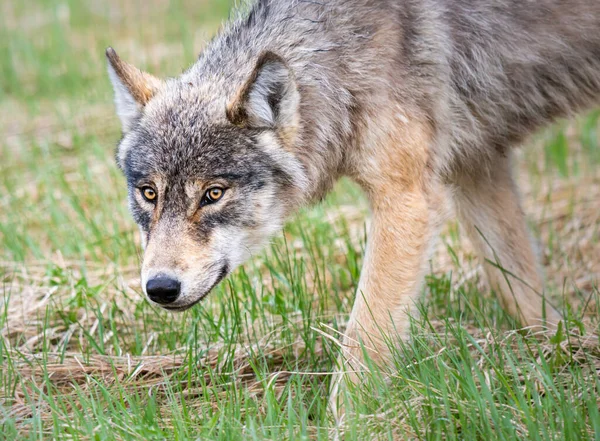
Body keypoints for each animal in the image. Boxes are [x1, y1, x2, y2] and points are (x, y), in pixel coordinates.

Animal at [108, 0, 600, 392]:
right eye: (149, 193)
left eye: (213, 194)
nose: (159, 288)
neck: (342, 58)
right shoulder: (476, 167)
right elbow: (525, 294)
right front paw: (558, 355)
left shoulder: (408, 200)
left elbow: (363, 342)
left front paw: (347, 422)